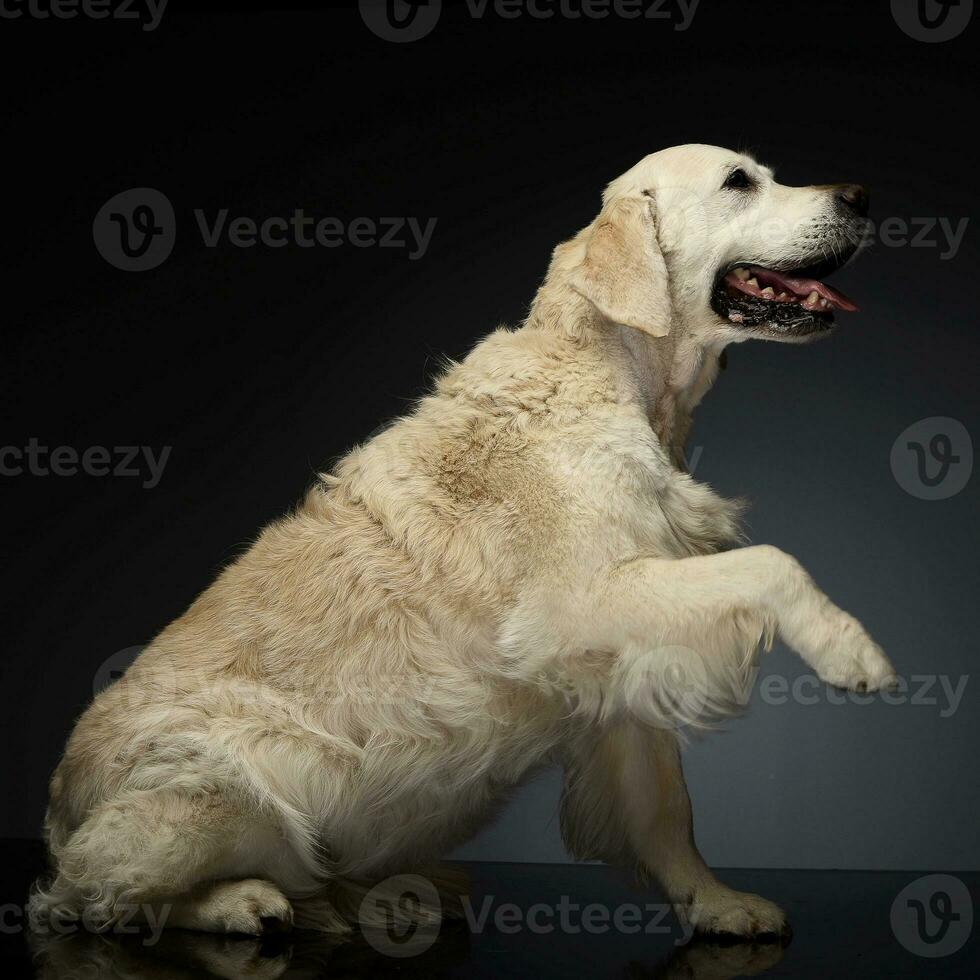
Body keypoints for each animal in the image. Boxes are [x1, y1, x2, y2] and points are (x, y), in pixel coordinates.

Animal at [32, 144, 896, 940]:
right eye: (738, 181)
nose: (861, 194)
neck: (615, 371)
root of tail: (59, 807)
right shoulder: (582, 604)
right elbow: (771, 563)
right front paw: (851, 652)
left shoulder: (622, 659)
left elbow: (664, 807)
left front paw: (715, 904)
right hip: (237, 780)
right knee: (90, 896)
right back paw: (242, 903)